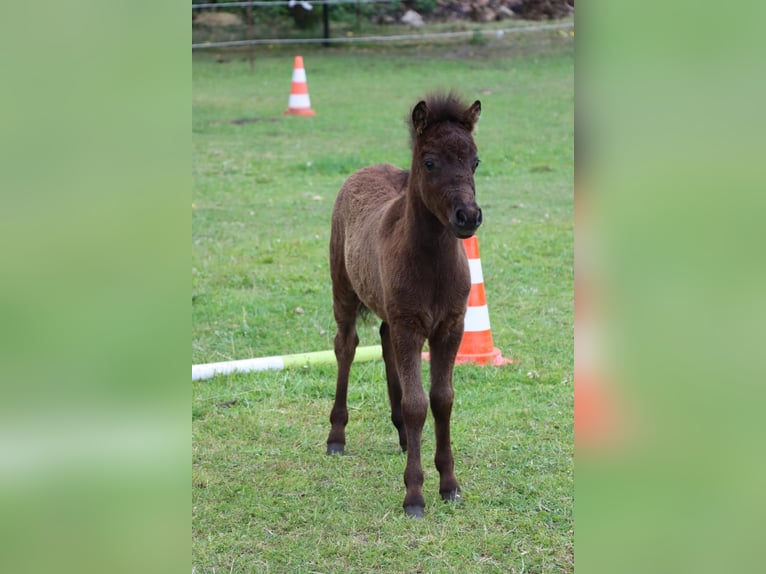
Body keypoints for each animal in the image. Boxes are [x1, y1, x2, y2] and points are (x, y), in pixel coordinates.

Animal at [326, 93, 483, 518]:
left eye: (475, 161)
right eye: (429, 162)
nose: (468, 216)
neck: (431, 261)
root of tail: (364, 169)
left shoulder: (450, 326)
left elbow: (442, 399)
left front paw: (449, 484)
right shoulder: (410, 325)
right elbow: (417, 404)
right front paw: (414, 494)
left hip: (390, 314)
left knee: (384, 345)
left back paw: (400, 435)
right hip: (343, 290)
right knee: (346, 347)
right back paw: (336, 435)